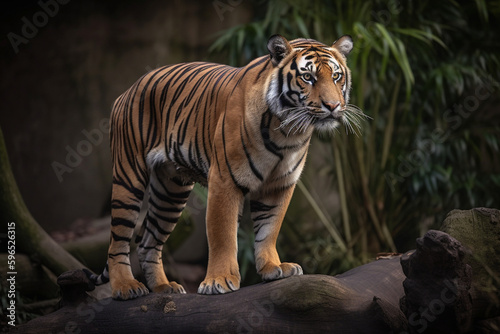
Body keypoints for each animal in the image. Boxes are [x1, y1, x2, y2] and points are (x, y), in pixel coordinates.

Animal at [87, 34, 360, 300]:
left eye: (336, 76)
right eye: (307, 77)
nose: (333, 106)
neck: (287, 132)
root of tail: (128, 90)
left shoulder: (278, 185)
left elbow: (269, 228)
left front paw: (273, 268)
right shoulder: (225, 180)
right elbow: (223, 234)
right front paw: (218, 281)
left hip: (170, 191)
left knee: (147, 243)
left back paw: (164, 287)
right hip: (128, 177)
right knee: (118, 241)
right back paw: (126, 286)